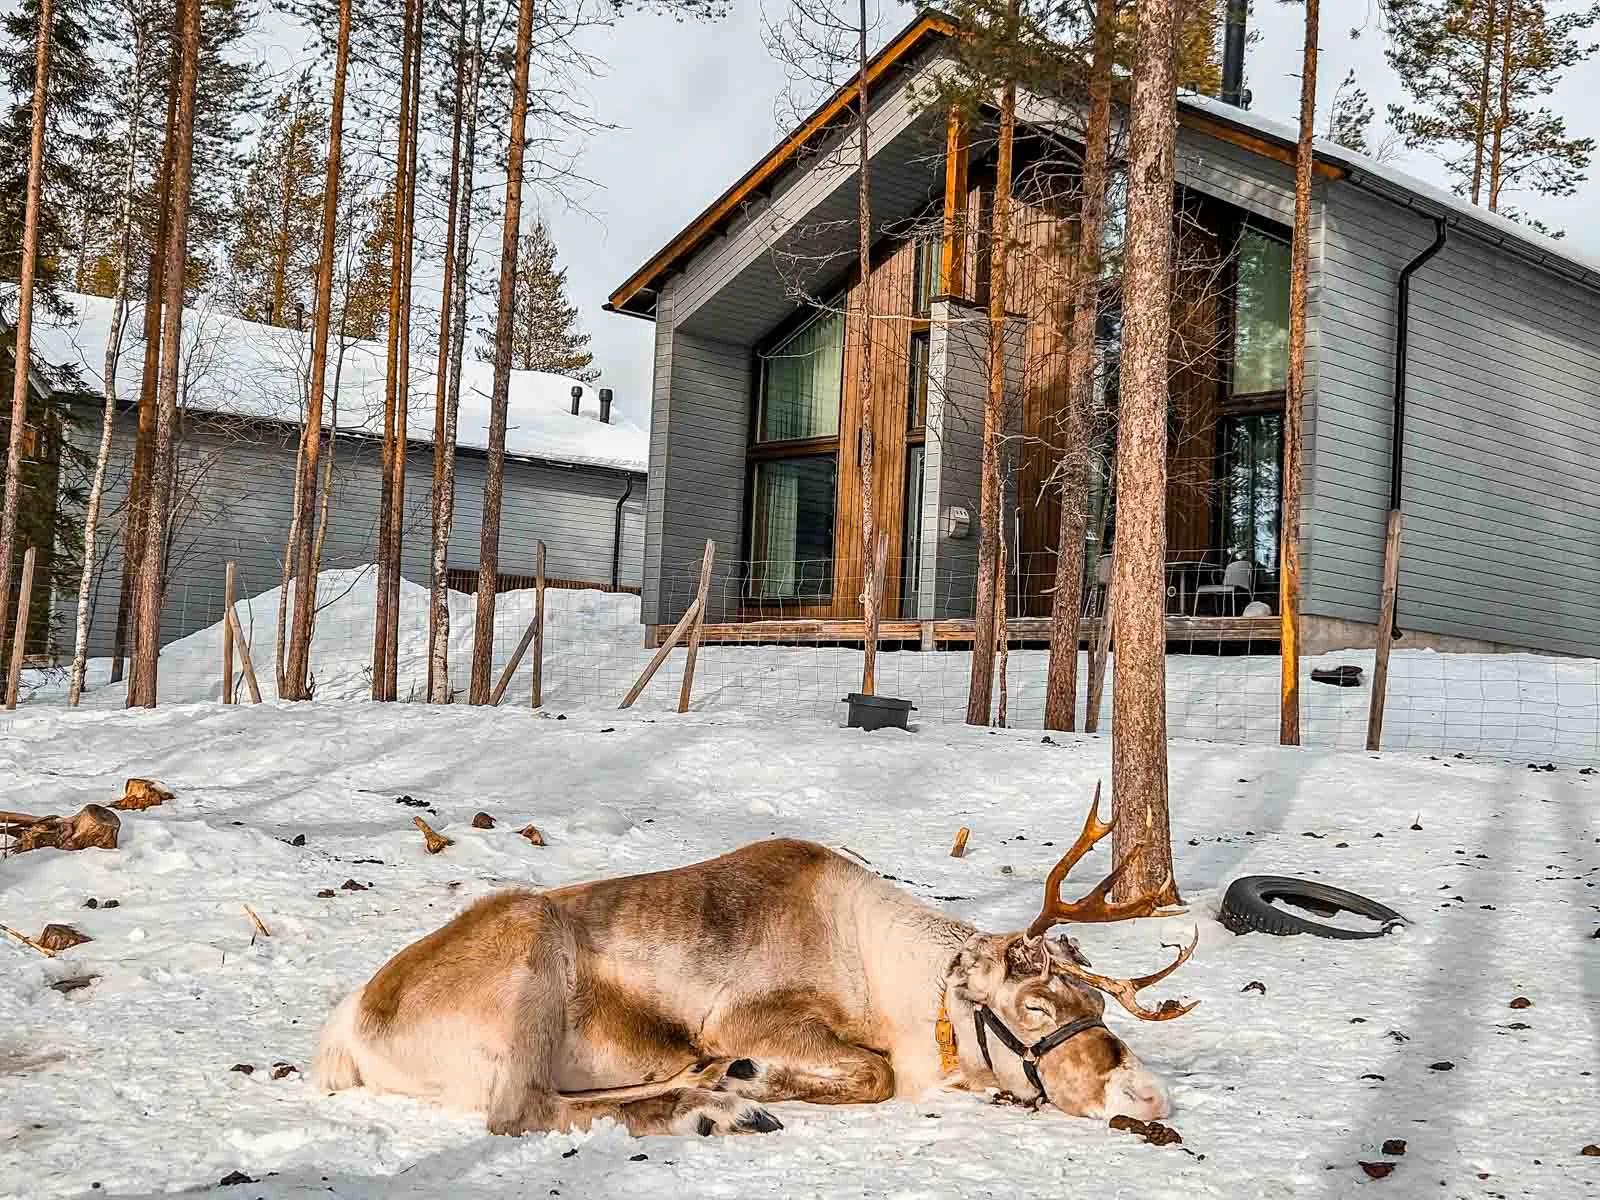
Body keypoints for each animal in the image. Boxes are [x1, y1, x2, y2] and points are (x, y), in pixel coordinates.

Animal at [314, 784, 1198, 1138]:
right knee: (521, 1110)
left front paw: (737, 1075)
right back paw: (717, 1105)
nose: (1149, 1095)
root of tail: (346, 1027)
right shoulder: (755, 1017)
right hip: (528, 952)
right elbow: (872, 1072)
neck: (890, 980)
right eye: (1035, 1007)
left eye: (1100, 1006)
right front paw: (751, 1077)